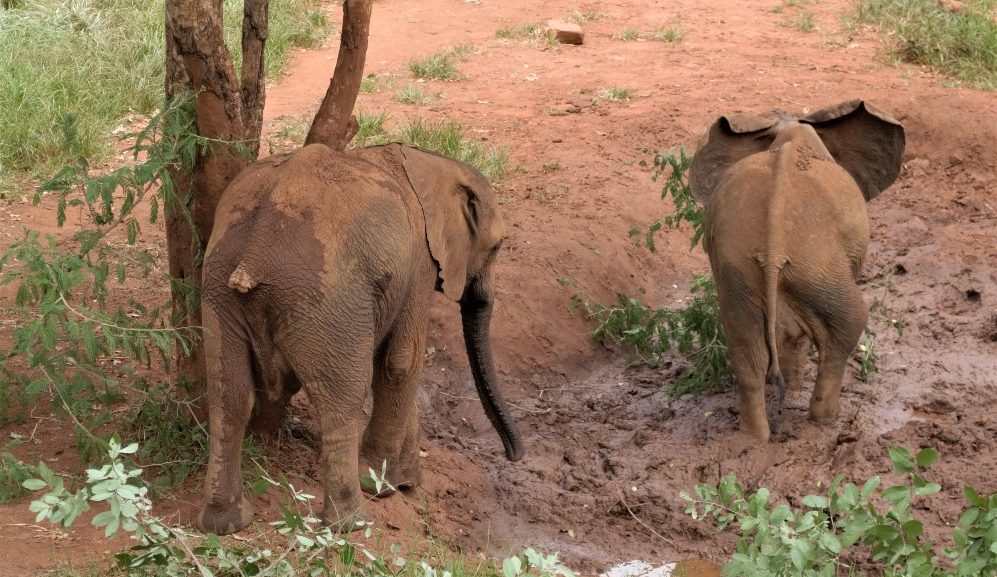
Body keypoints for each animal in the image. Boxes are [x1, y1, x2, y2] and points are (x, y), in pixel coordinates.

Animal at [196, 142, 524, 535]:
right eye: (498, 247)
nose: (515, 455)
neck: (431, 162)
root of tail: (254, 252)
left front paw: (407, 482)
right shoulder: (420, 262)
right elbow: (402, 361)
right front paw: (383, 485)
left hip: (218, 291)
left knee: (228, 396)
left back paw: (226, 524)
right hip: (326, 301)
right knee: (342, 401)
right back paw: (351, 522)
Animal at [688, 99, 905, 440]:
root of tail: (774, 246)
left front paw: (790, 387)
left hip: (740, 269)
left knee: (745, 345)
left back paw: (755, 436)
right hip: (819, 266)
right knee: (847, 325)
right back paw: (825, 422)